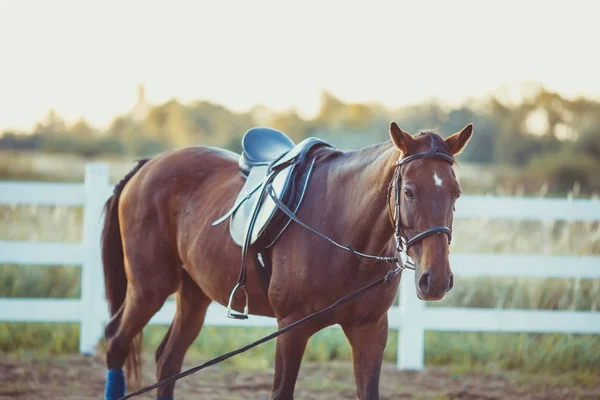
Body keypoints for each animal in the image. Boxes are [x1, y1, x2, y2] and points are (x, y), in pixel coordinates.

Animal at [99, 122, 474, 400]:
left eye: (456, 194)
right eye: (408, 191)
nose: (436, 280)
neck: (343, 224)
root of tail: (147, 165)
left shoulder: (370, 330)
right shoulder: (292, 329)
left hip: (194, 293)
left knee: (168, 362)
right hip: (149, 289)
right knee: (117, 342)